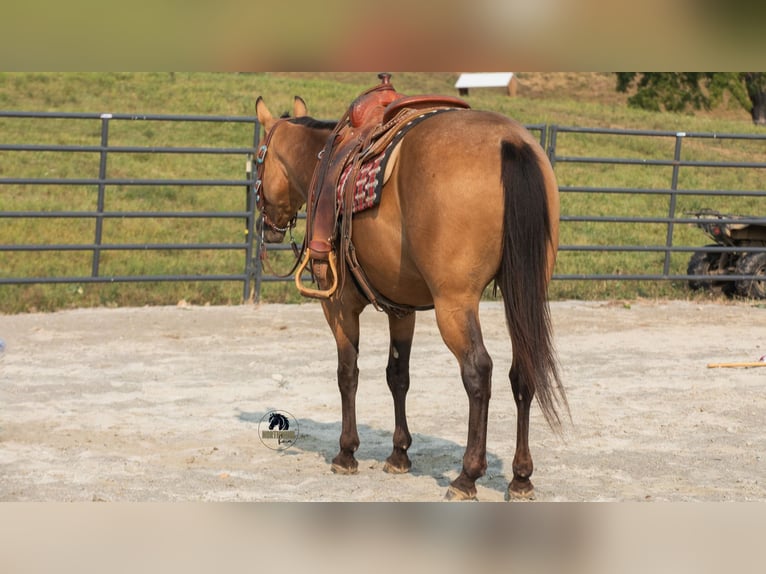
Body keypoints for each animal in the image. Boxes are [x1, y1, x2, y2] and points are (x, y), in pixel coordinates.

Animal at [254, 90, 568, 501]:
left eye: (259, 158)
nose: (267, 226)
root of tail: (510, 143)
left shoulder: (338, 305)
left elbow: (347, 373)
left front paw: (346, 453)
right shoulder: (402, 310)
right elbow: (397, 375)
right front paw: (399, 454)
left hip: (454, 304)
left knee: (478, 372)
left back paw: (467, 476)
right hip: (522, 294)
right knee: (523, 371)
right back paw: (520, 477)